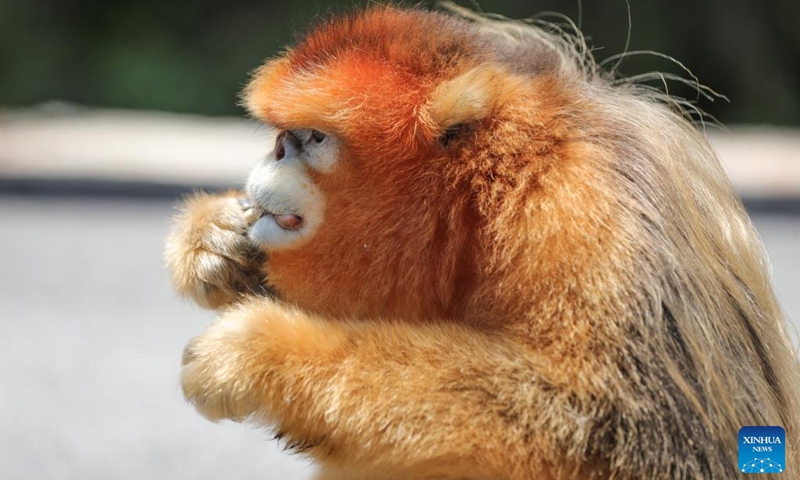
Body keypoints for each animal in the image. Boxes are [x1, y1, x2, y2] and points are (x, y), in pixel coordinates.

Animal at [165, 6, 800, 479]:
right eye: (280, 137)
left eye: (312, 139)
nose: (275, 153)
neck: (489, 187)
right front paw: (216, 239)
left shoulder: (586, 212)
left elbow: (629, 439)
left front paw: (259, 354)